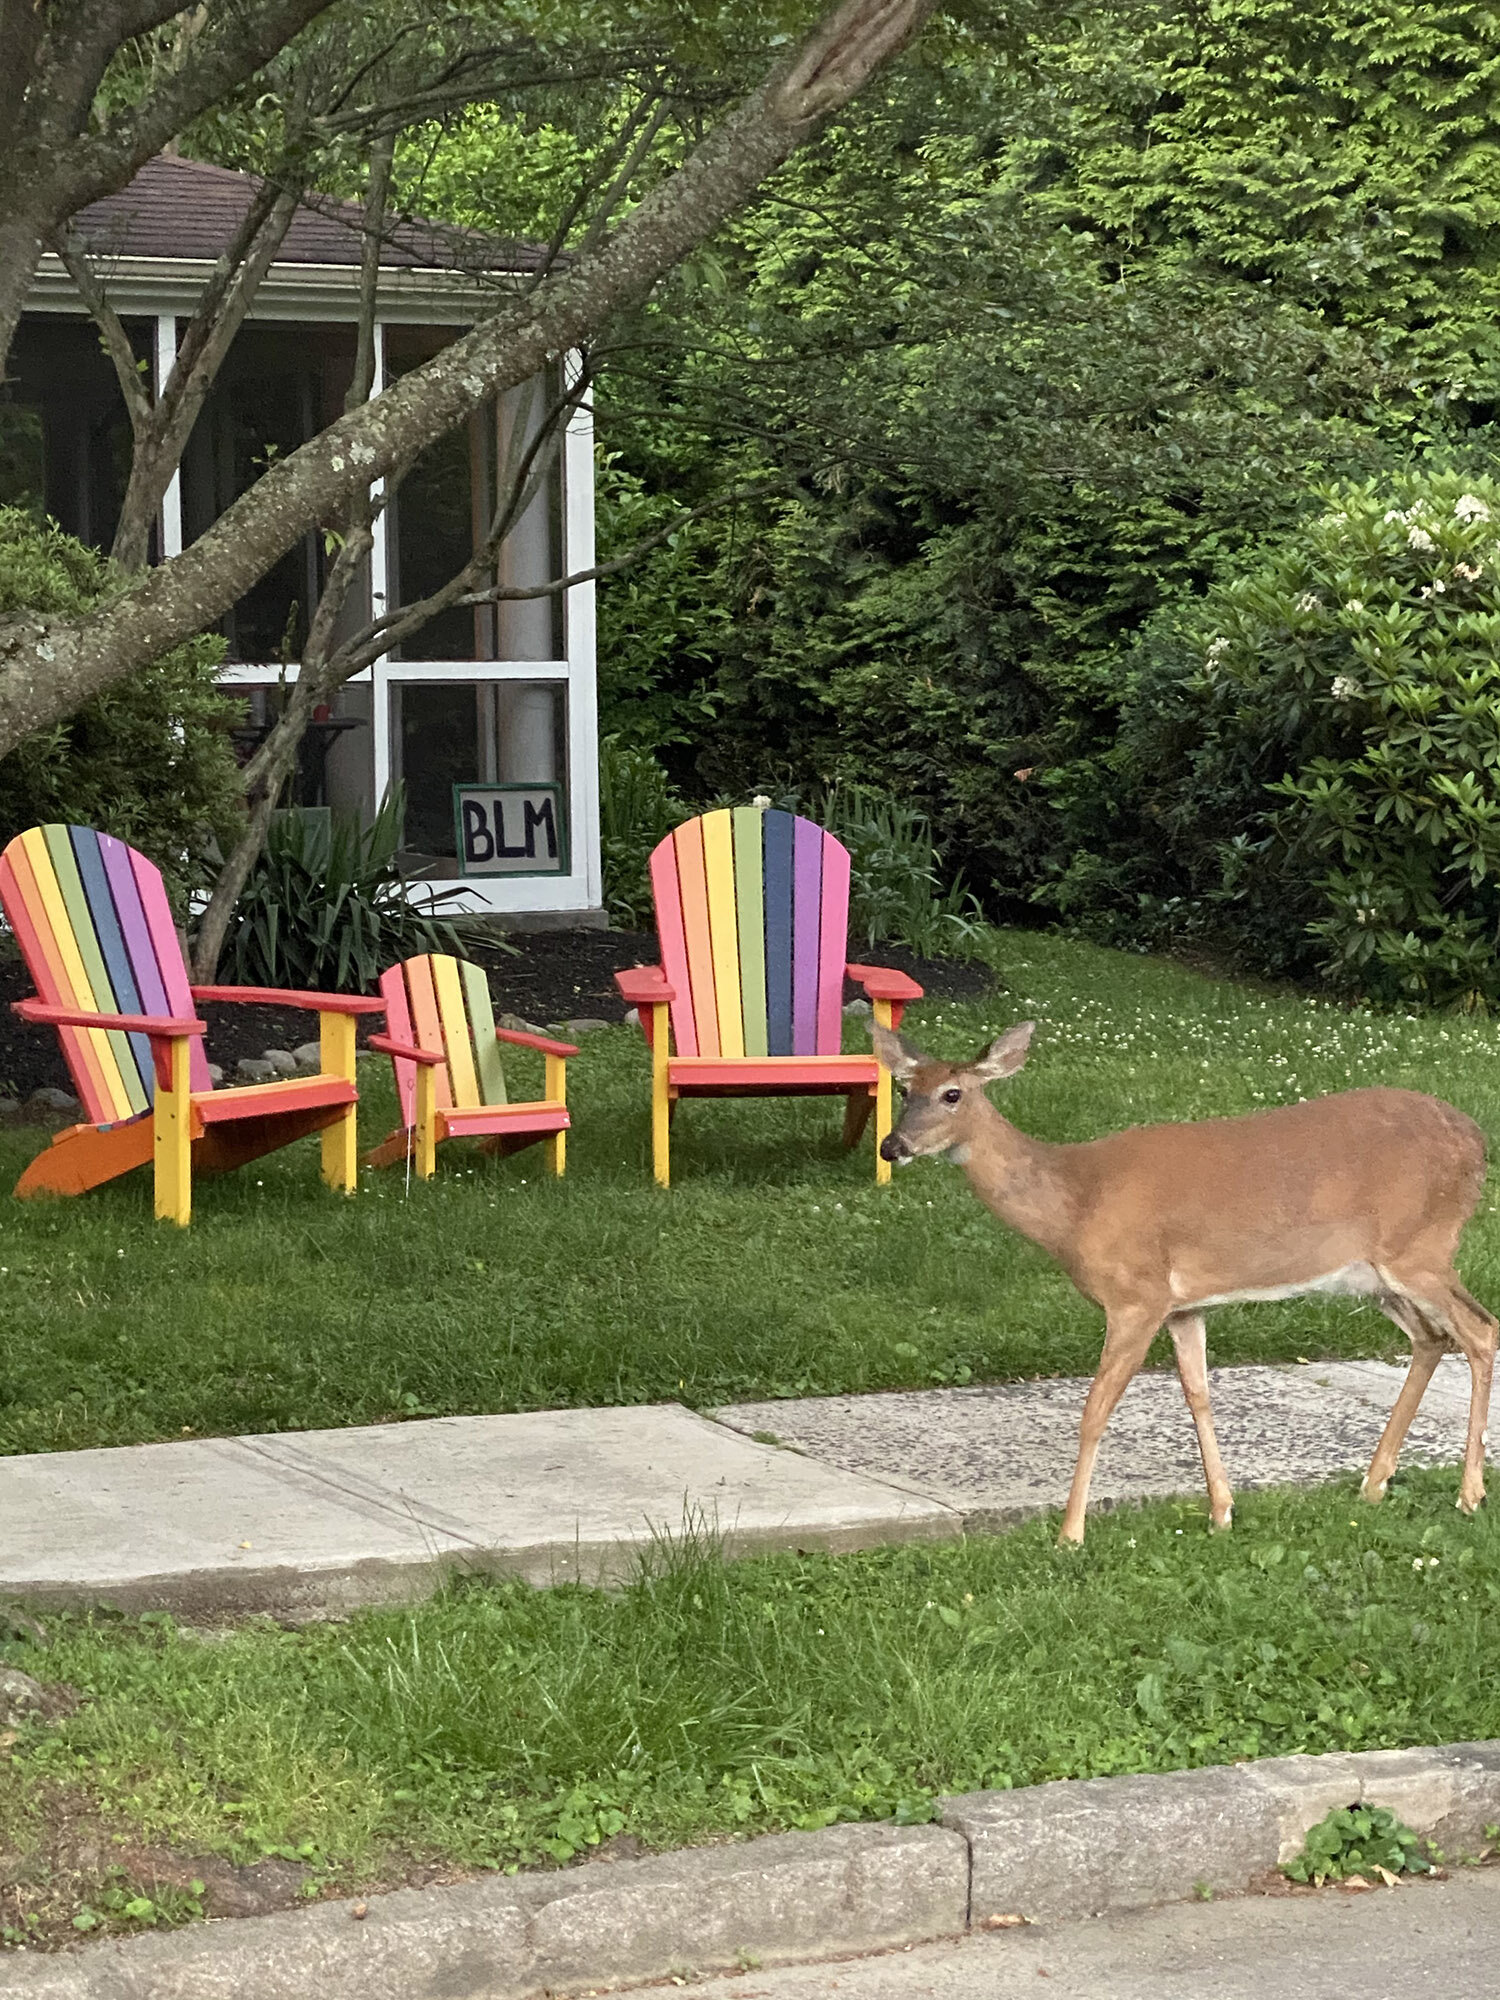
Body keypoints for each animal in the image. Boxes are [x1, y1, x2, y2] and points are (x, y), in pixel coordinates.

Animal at [871, 1020, 1497, 1545]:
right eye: (904, 1090)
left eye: (953, 1094)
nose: (891, 1146)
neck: (1075, 1202)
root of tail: (1476, 1140)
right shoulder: (1183, 1306)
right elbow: (1198, 1394)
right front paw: (1222, 1511)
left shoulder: (1137, 1296)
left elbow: (1095, 1409)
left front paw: (1070, 1534)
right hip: (1375, 1276)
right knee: (1433, 1338)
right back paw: (1373, 1485)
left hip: (1421, 1248)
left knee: (1480, 1330)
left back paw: (1469, 1494)